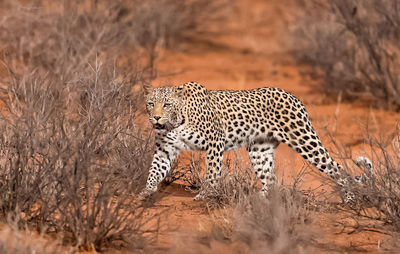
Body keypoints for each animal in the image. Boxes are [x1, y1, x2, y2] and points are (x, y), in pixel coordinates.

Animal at [141, 82, 372, 201]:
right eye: (151, 103)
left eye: (167, 104)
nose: (156, 118)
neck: (174, 123)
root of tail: (293, 96)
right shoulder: (164, 149)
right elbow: (155, 170)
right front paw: (146, 191)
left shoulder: (215, 141)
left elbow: (213, 172)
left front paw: (206, 194)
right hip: (260, 150)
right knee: (270, 180)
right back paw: (258, 200)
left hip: (304, 140)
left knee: (337, 169)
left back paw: (349, 198)